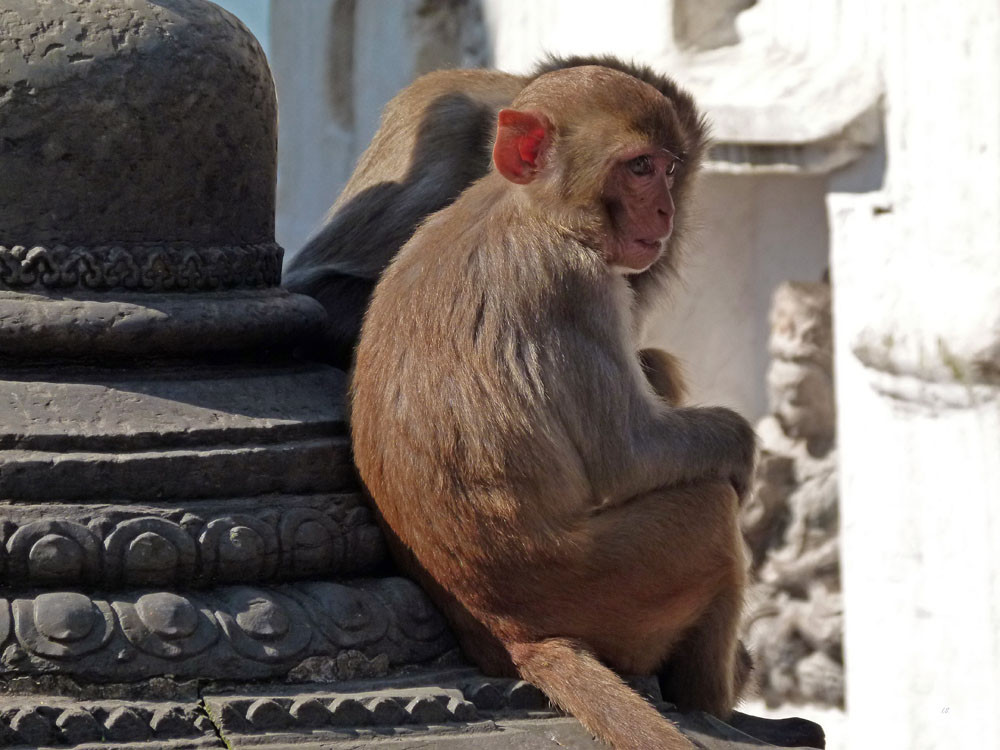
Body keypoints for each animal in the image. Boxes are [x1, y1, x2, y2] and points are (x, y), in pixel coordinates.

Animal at [352, 66, 756, 750]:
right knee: (710, 510)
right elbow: (630, 457)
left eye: (668, 169)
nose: (667, 210)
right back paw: (713, 701)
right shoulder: (575, 285)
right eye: (639, 167)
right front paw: (744, 447)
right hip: (620, 586)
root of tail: (516, 635)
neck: (526, 205)